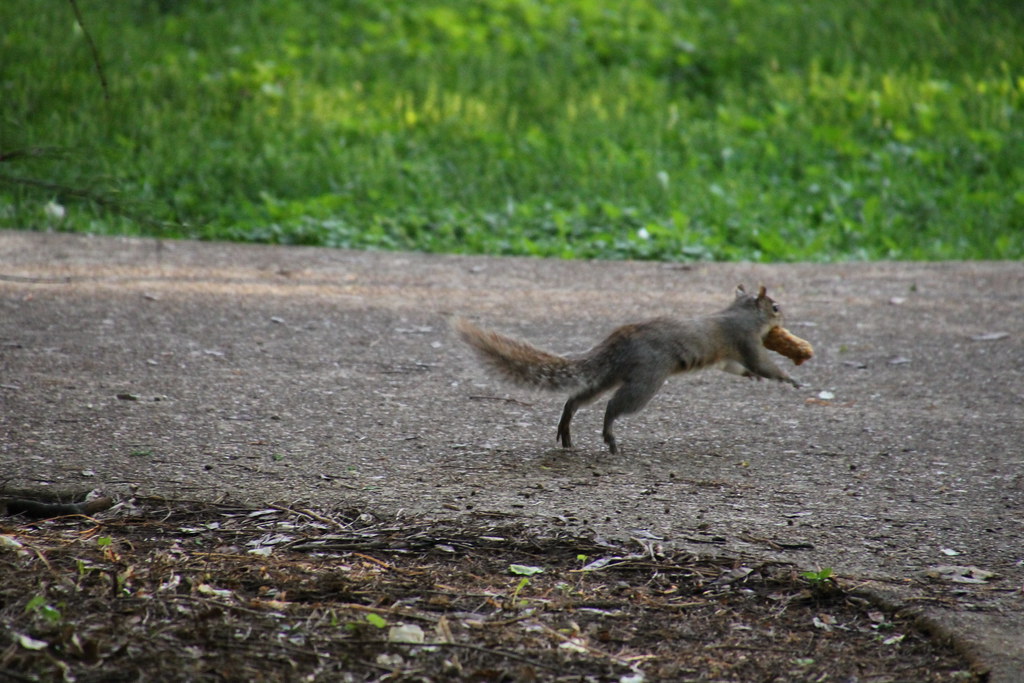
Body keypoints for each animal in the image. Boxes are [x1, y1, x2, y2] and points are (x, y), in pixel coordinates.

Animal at [454, 284, 801, 454]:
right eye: (775, 307)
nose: (784, 317)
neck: (739, 314)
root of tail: (619, 340)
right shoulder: (745, 341)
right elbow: (763, 364)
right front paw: (789, 378)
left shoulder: (728, 357)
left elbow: (737, 368)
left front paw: (753, 377)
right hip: (646, 381)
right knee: (613, 406)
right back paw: (610, 438)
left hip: (610, 375)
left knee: (578, 398)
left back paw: (567, 426)